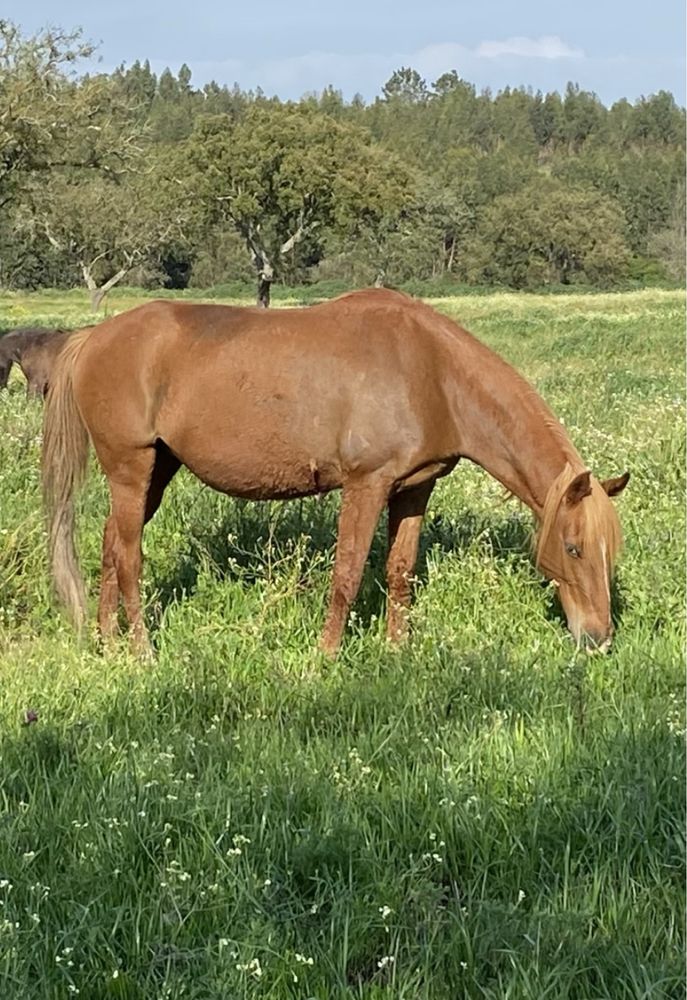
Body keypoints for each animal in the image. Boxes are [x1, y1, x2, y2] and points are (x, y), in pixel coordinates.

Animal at [41, 290, 628, 656]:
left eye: (609, 551)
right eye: (573, 548)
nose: (598, 637)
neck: (432, 371)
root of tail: (93, 338)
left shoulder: (415, 489)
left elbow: (400, 570)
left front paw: (397, 650)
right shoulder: (366, 485)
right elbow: (346, 574)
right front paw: (326, 657)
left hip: (157, 470)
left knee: (111, 542)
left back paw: (107, 642)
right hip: (132, 467)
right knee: (128, 556)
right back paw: (141, 651)